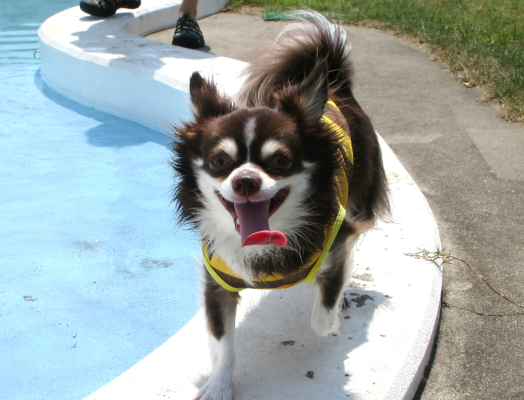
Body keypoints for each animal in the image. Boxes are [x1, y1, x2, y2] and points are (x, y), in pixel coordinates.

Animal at [171, 12, 390, 400]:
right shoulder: (218, 284)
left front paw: (334, 318)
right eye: (219, 162)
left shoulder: (337, 239)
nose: (245, 180)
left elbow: (322, 316)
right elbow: (223, 343)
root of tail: (337, 86)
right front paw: (219, 385)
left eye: (280, 161)